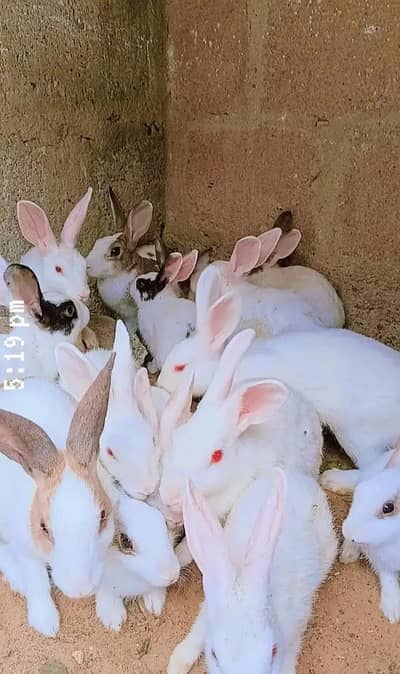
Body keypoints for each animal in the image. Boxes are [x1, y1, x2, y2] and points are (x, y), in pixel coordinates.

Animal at [0, 355, 115, 636]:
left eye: (102, 517)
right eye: (43, 527)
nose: (81, 590)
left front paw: (112, 614)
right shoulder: (26, 551)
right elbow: (37, 580)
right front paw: (46, 623)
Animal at [168, 469, 337, 674]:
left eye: (273, 650)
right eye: (214, 654)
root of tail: (297, 476)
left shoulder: (295, 626)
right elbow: (197, 632)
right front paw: (176, 664)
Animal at [341, 444, 400, 623]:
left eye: (388, 507)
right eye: (361, 492)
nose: (347, 531)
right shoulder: (379, 557)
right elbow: (388, 576)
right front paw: (393, 611)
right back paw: (348, 554)